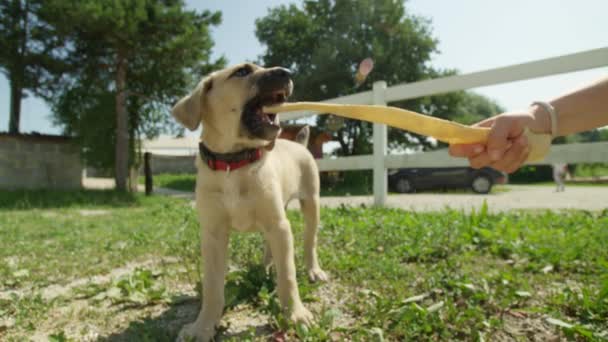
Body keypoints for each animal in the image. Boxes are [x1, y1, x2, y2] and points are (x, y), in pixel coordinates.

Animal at [171, 62, 328, 340]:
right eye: (242, 72)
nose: (288, 72)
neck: (234, 162)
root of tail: (299, 144)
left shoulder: (279, 225)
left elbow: (288, 276)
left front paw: (297, 315)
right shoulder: (213, 235)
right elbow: (212, 287)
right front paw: (203, 326)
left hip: (310, 204)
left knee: (309, 243)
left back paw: (313, 270)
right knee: (270, 247)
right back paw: (265, 269)